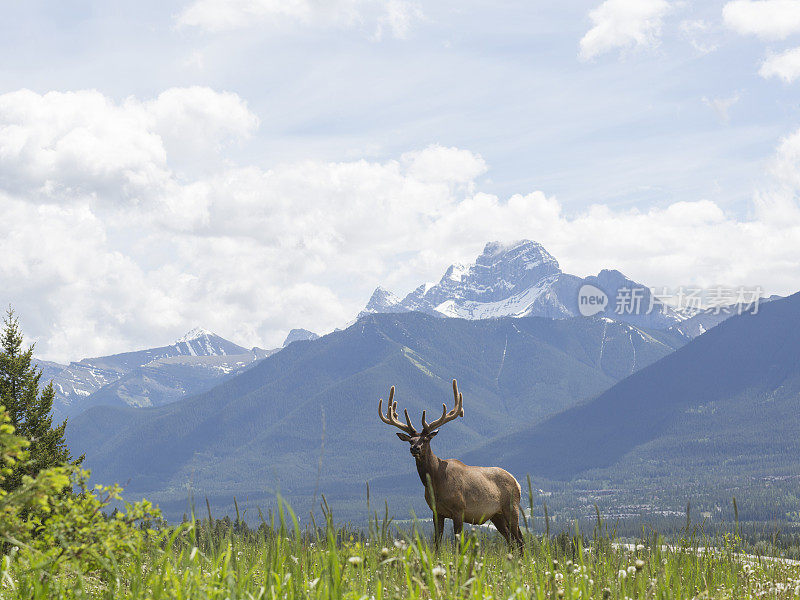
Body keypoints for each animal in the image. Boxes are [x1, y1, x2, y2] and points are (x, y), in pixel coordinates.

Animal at [380, 380, 524, 548]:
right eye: (411, 440)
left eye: (426, 439)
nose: (414, 448)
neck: (437, 483)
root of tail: (517, 482)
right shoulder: (436, 512)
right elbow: (436, 543)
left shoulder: (459, 509)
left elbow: (458, 544)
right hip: (496, 515)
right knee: (512, 540)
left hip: (511, 507)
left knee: (520, 539)